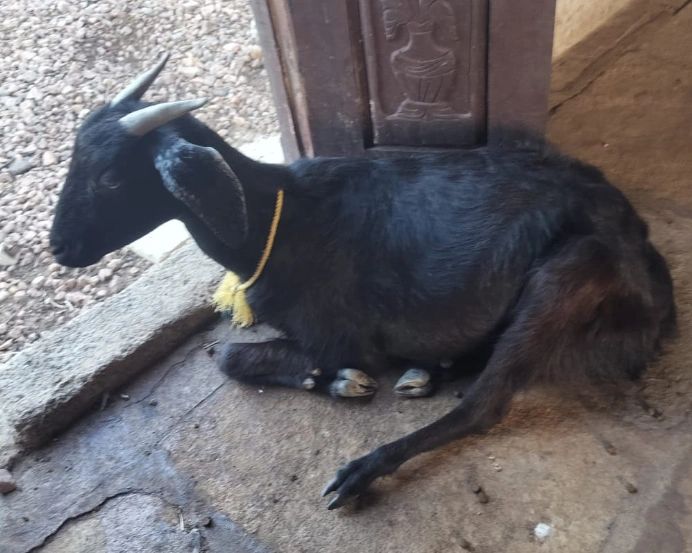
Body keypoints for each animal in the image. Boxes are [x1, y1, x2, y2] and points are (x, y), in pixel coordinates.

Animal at [50, 54, 676, 510]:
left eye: (110, 177)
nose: (59, 248)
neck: (278, 217)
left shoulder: (341, 336)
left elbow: (229, 356)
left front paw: (335, 378)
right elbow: (231, 354)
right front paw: (328, 381)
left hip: (566, 275)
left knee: (485, 404)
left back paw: (365, 469)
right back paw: (431, 369)